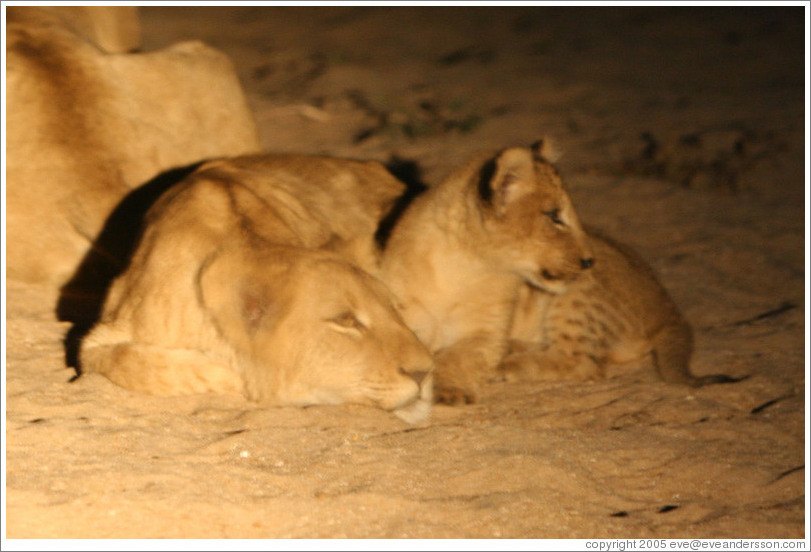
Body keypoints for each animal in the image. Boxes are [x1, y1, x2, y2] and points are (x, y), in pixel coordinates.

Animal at [377, 142, 595, 404]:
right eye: (554, 216)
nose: (590, 261)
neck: (466, 267)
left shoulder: (488, 334)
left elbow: (459, 358)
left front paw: (449, 390)